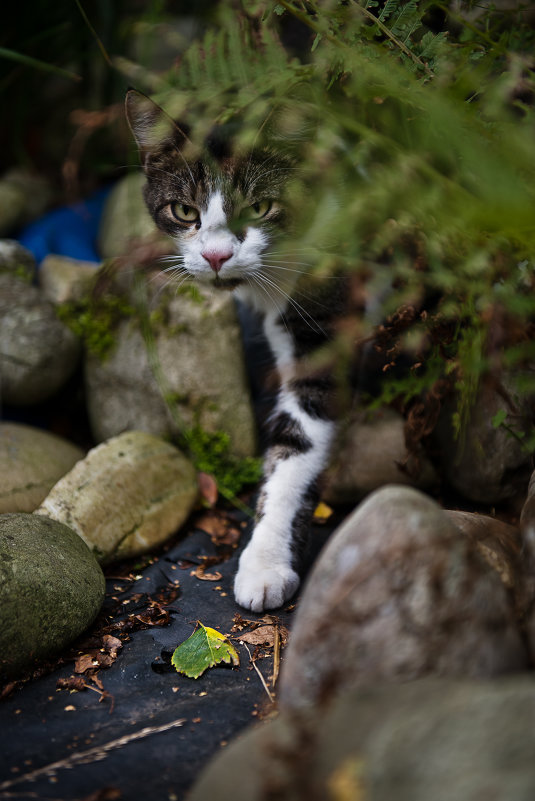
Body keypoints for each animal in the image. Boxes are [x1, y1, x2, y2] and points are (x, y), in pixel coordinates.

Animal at [125, 89, 352, 612]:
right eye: (184, 211)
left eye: (261, 206)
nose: (215, 256)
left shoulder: (320, 325)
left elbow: (295, 446)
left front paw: (265, 565)